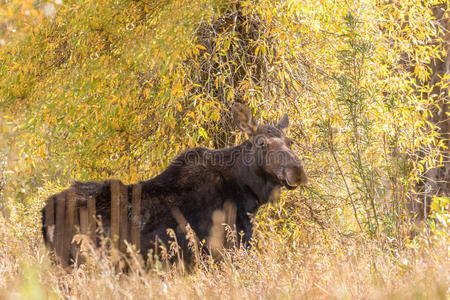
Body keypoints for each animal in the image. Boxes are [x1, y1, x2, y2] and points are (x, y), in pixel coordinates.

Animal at [42, 103, 308, 264]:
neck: (248, 196)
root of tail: (44, 213)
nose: (297, 171)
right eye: (262, 142)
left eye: (291, 141)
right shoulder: (222, 251)